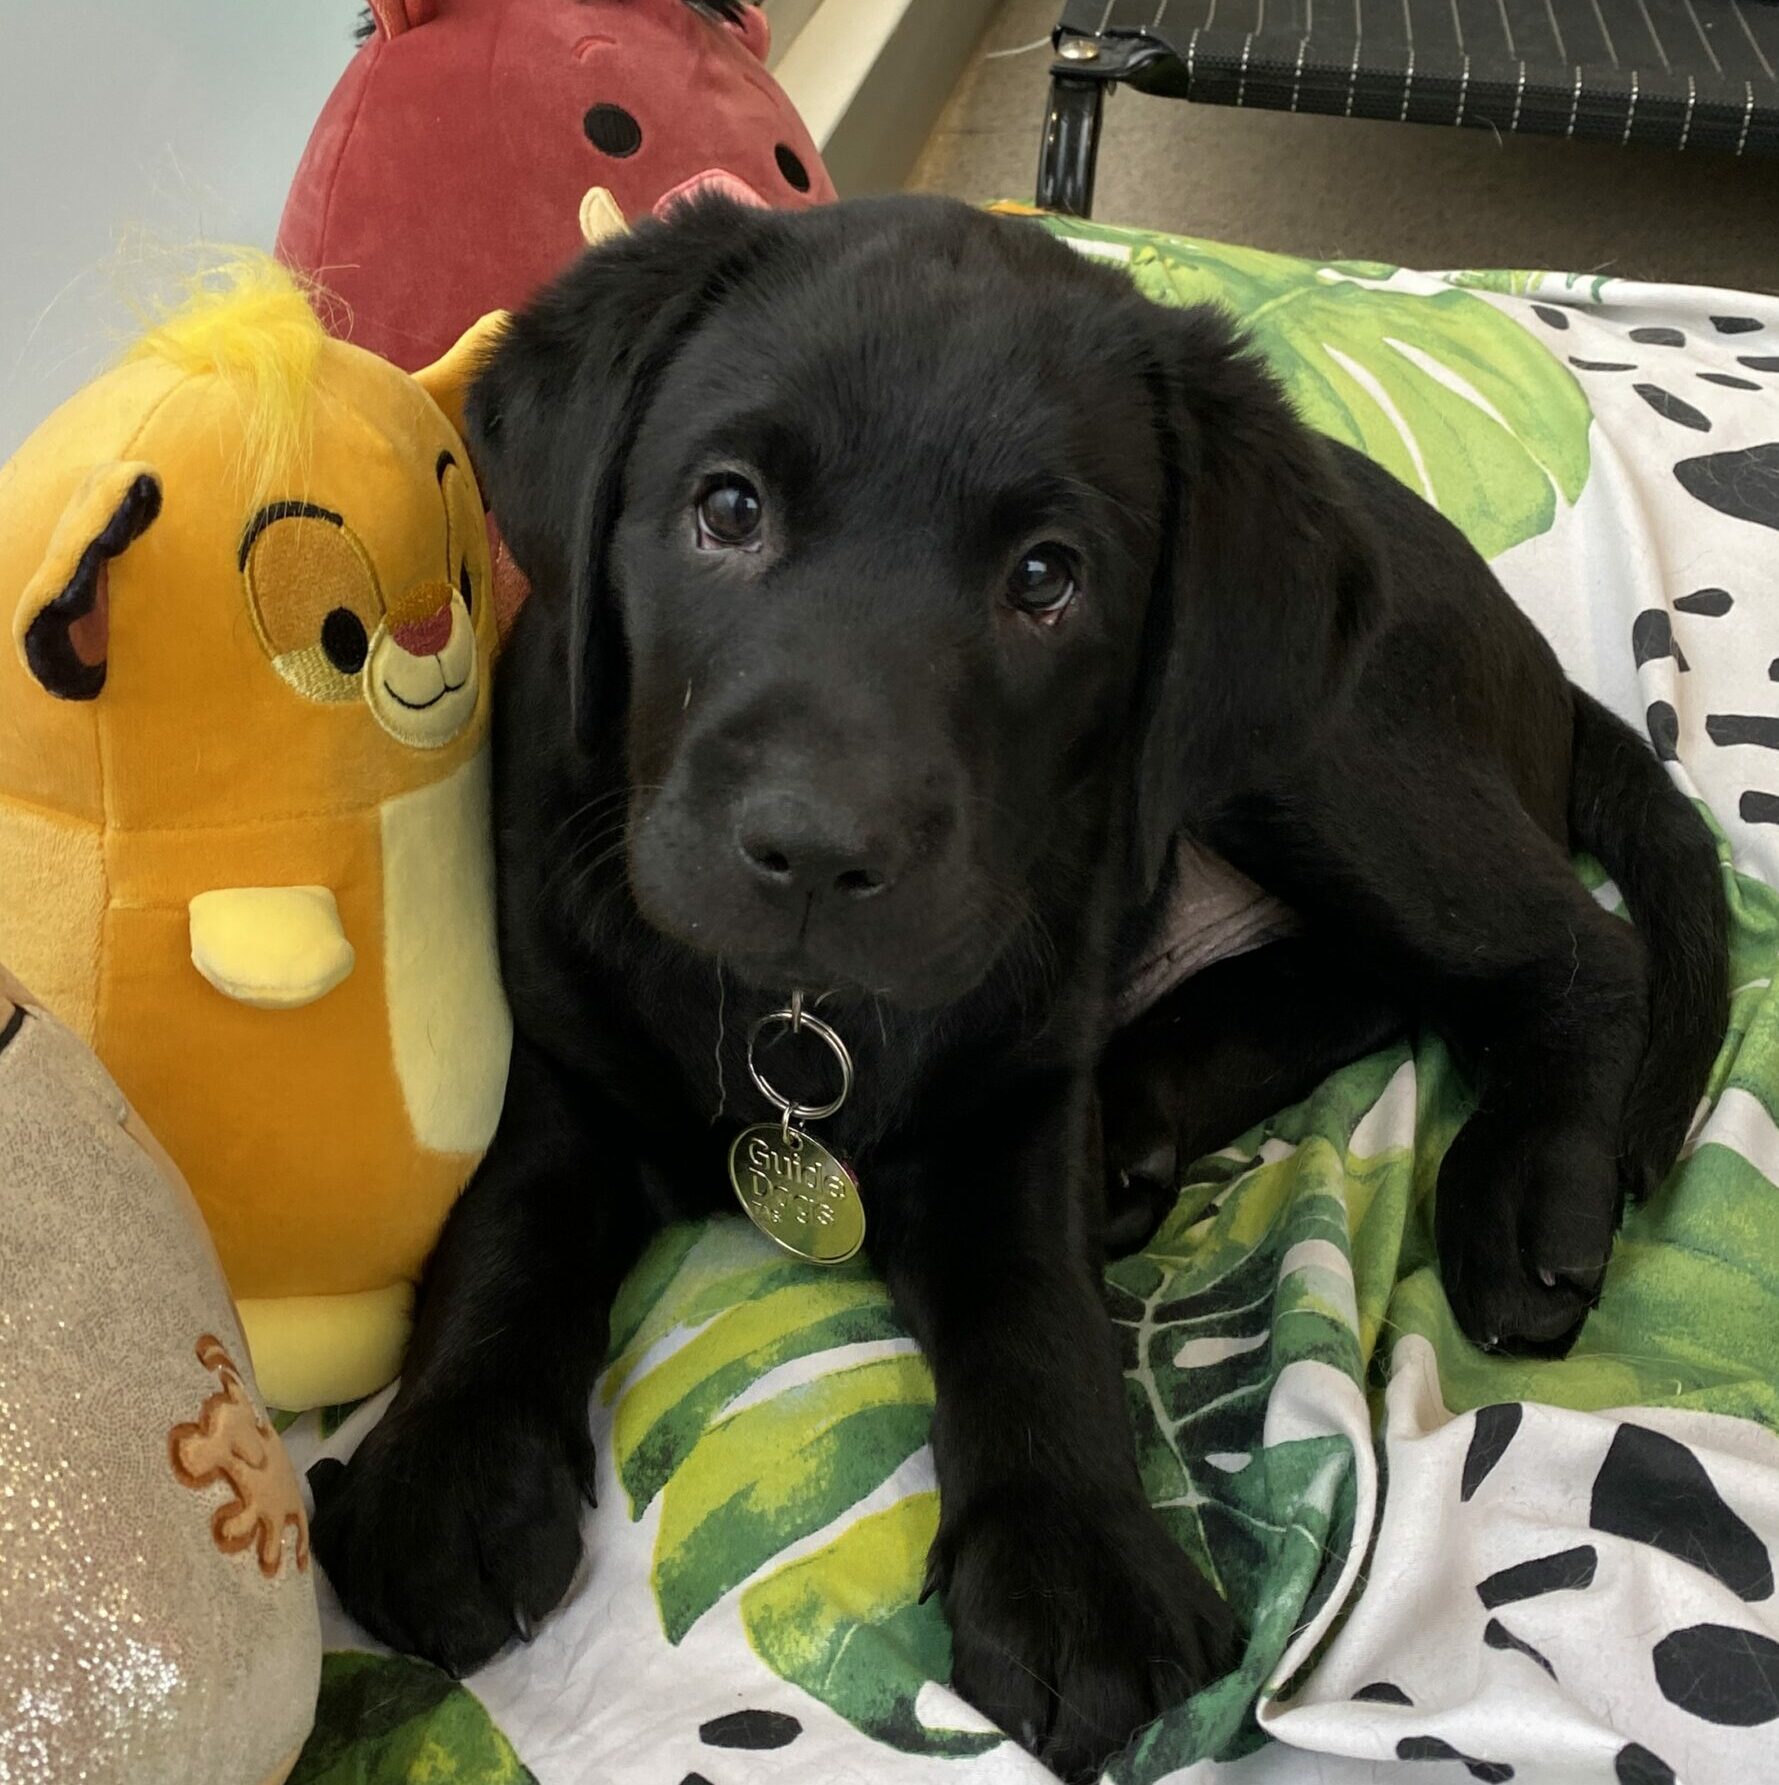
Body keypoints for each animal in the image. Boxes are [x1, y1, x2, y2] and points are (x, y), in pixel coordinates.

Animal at [312, 199, 1727, 1785]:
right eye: (727, 509)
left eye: (1046, 580)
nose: (817, 847)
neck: (799, 1015)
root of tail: (1541, 659)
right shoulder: (561, 1055)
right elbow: (504, 1234)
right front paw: (445, 1471)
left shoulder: (1013, 1092)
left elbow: (1033, 1317)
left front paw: (1074, 1565)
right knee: (1361, 979)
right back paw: (1151, 1124)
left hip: (1332, 754)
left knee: (1567, 951)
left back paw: (1526, 1191)